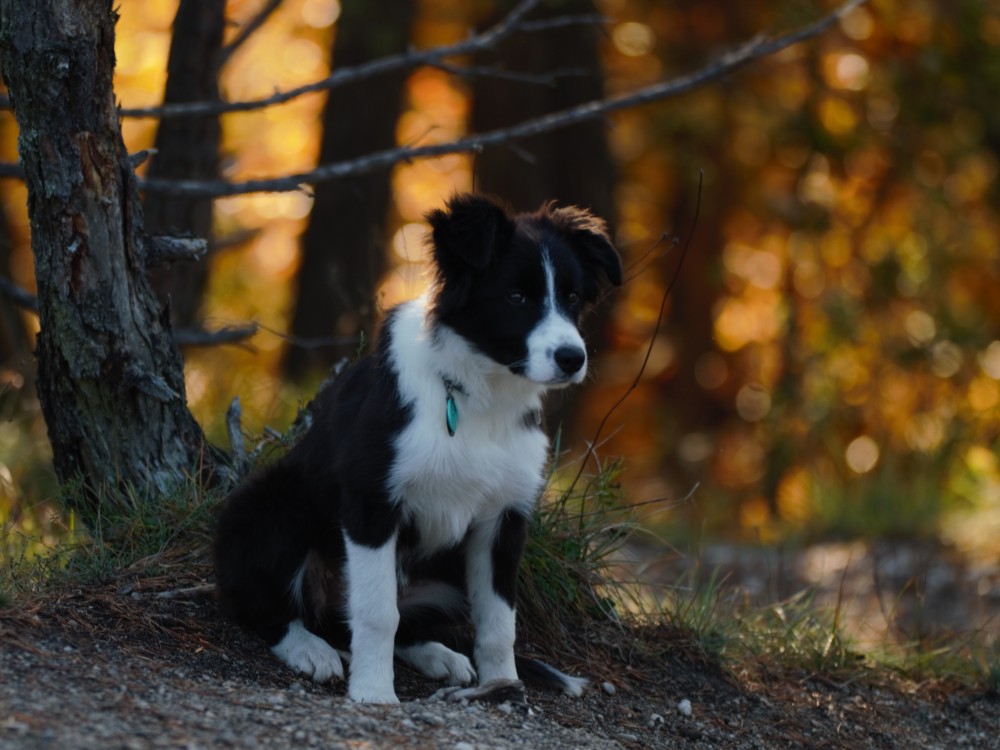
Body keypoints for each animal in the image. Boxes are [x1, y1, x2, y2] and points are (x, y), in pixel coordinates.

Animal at [215, 192, 620, 704]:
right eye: (516, 297)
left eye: (571, 298)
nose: (572, 359)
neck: (477, 395)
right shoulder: (371, 501)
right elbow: (376, 613)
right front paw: (373, 692)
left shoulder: (504, 518)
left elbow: (499, 620)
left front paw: (502, 684)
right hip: (272, 501)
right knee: (260, 604)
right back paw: (310, 648)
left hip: (444, 578)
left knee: (386, 622)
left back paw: (438, 655)